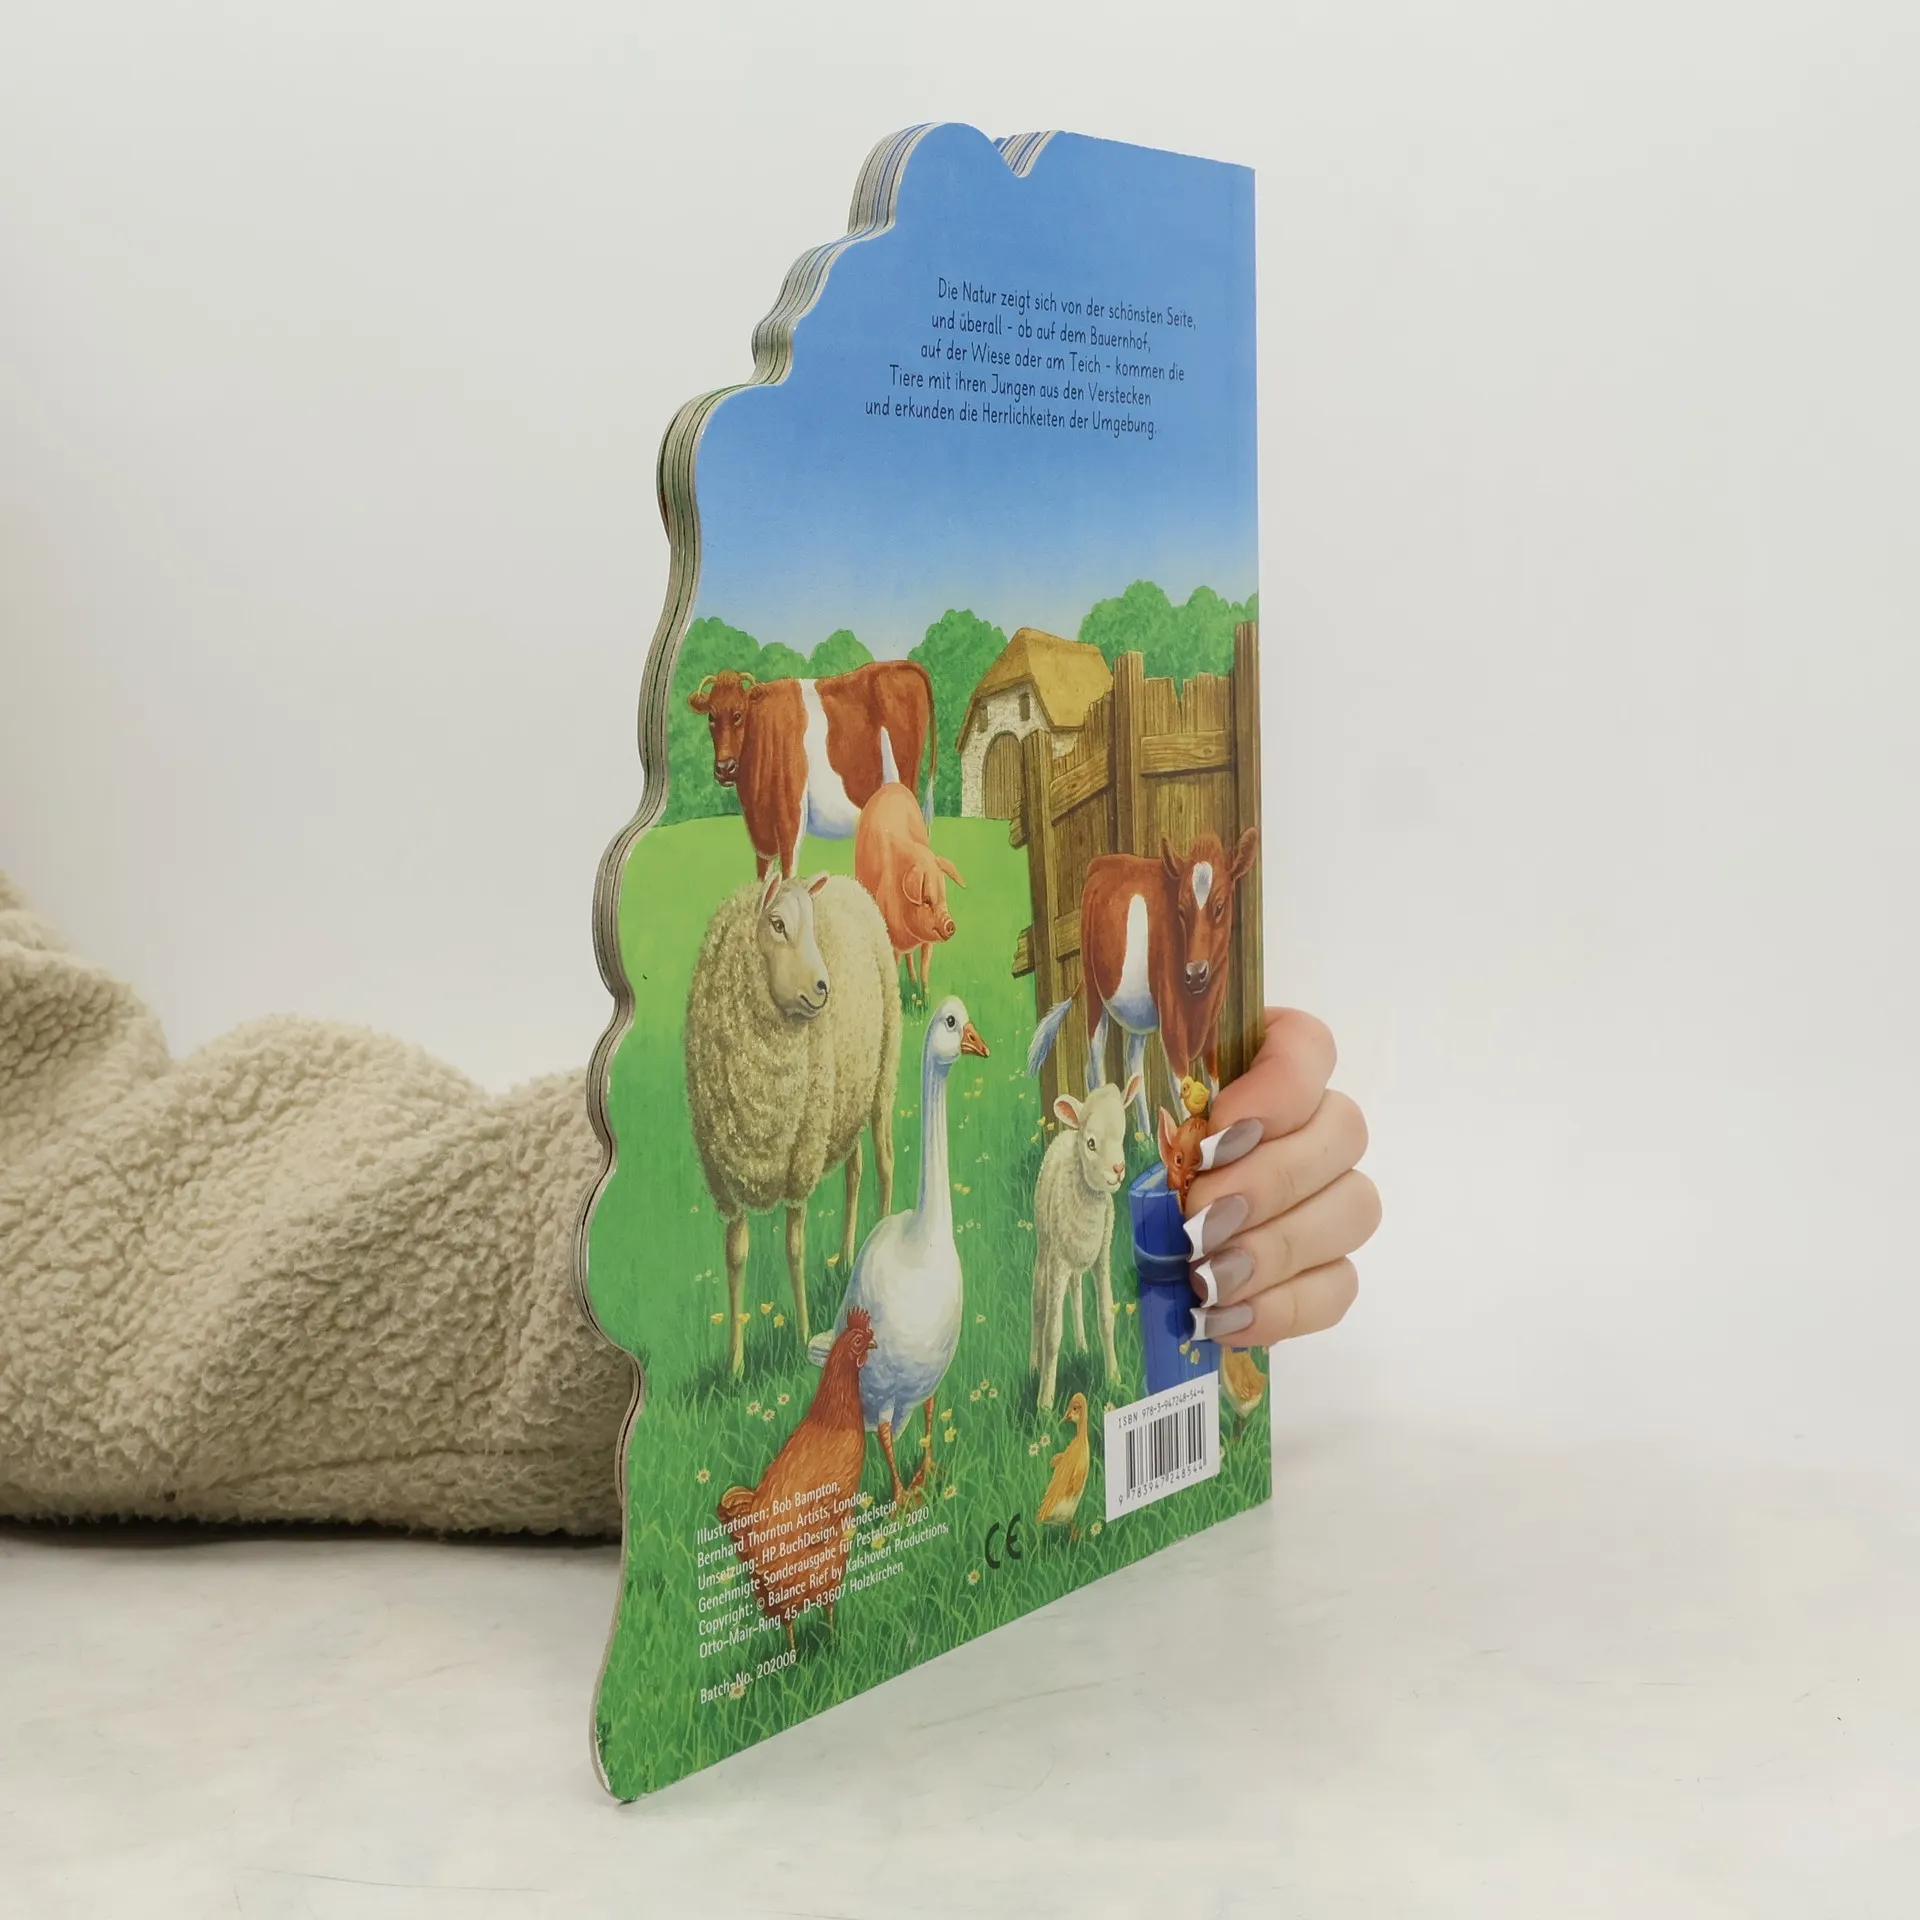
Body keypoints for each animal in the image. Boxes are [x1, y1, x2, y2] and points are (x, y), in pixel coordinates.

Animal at [685, 868, 901, 1375]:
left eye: (812, 926)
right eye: (778, 924)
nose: (824, 987)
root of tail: (848, 883)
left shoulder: (801, 1154)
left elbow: (793, 1245)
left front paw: (802, 1336)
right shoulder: (723, 1176)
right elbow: (736, 1254)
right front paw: (735, 1363)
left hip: (881, 1077)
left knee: (884, 1162)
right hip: (845, 1098)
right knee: (855, 1170)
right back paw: (848, 1257)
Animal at [687, 659, 936, 877]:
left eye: (739, 715)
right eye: (711, 716)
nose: (725, 768)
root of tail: (899, 664)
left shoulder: (791, 815)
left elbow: (788, 875)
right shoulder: (761, 836)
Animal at [853, 781, 967, 1000]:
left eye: (943, 896)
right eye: (927, 900)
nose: (950, 924)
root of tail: (892, 785)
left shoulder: (927, 943)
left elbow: (924, 966)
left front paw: (925, 997)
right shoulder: (892, 938)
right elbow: (894, 969)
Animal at [1025, 828, 1259, 1140]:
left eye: (1220, 907)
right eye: (1181, 910)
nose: (1195, 973)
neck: (1198, 1001)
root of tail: (1104, 862)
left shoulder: (1212, 1023)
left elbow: (1214, 1084)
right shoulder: (1172, 1028)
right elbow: (1183, 1095)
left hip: (1138, 1010)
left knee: (1133, 1064)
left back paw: (1146, 1138)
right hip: (1094, 992)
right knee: (1095, 1068)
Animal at [1029, 1072, 1141, 1412]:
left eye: (1122, 1134)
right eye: (1091, 1143)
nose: (1118, 1170)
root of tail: (1067, 1132)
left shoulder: (1102, 1255)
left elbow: (1106, 1315)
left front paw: (1114, 1378)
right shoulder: (1058, 1261)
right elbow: (1052, 1334)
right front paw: (1044, 1405)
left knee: (1076, 1289)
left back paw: (1081, 1346)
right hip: (1045, 1244)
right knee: (1038, 1301)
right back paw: (1034, 1366)